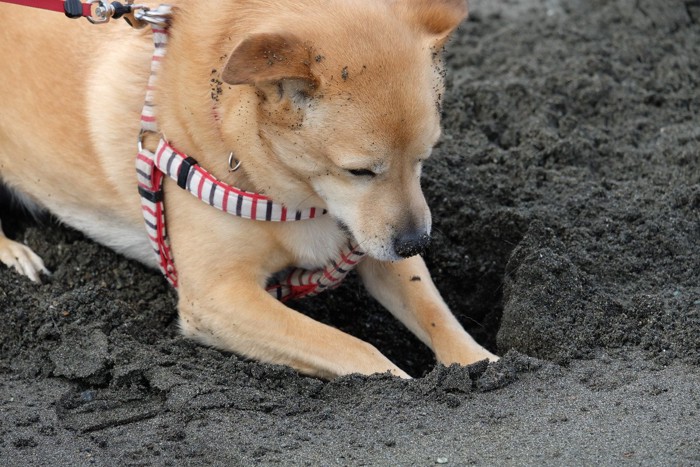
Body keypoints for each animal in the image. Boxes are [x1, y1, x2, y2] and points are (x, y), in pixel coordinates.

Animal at [0, 0, 498, 378]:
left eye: (424, 157)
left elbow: (434, 310)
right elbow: (354, 349)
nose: (417, 242)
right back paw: (15, 253)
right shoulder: (217, 297)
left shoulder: (373, 240)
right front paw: (403, 385)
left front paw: (485, 365)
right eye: (358, 171)